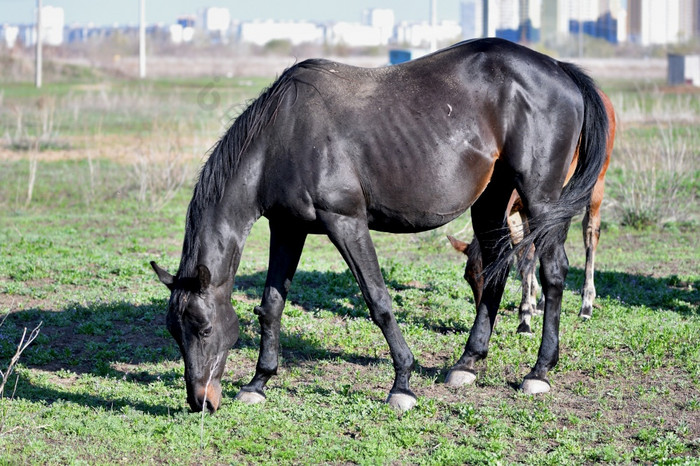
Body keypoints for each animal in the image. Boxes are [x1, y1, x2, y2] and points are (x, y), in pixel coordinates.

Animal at [448, 89, 612, 334]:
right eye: (469, 277)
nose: (488, 321)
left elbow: (526, 258)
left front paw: (525, 318)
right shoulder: (515, 214)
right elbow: (524, 254)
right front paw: (531, 304)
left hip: (596, 185)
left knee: (590, 234)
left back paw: (586, 305)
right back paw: (543, 301)